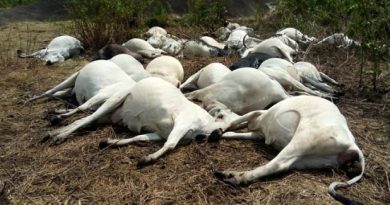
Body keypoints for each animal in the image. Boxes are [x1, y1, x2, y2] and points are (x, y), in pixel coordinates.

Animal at [44, 77, 230, 165]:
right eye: (221, 115)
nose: (217, 134)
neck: (205, 125)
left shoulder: (160, 133)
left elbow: (139, 137)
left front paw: (109, 141)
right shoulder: (182, 122)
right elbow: (170, 144)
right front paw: (148, 158)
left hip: (108, 113)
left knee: (86, 118)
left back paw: (55, 126)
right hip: (114, 100)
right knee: (86, 115)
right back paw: (57, 134)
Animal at [215, 95, 364, 205]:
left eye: (219, 115)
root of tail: (352, 145)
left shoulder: (259, 113)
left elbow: (236, 121)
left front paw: (218, 132)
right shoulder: (259, 134)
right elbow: (238, 132)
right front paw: (223, 134)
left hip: (303, 139)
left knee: (277, 164)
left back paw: (233, 176)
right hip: (308, 159)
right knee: (284, 166)